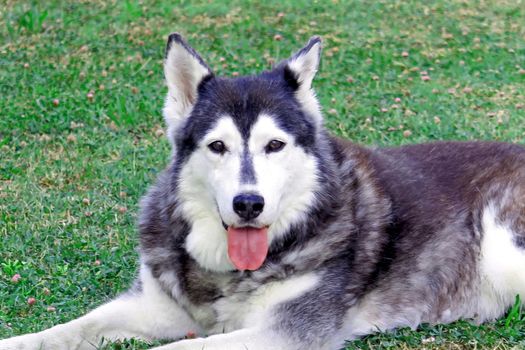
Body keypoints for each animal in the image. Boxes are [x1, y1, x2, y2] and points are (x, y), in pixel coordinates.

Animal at [1, 33, 524, 350]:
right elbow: (68, 329)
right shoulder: (153, 306)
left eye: (274, 145)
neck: (229, 269)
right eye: (217, 146)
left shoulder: (285, 332)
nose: (248, 204)